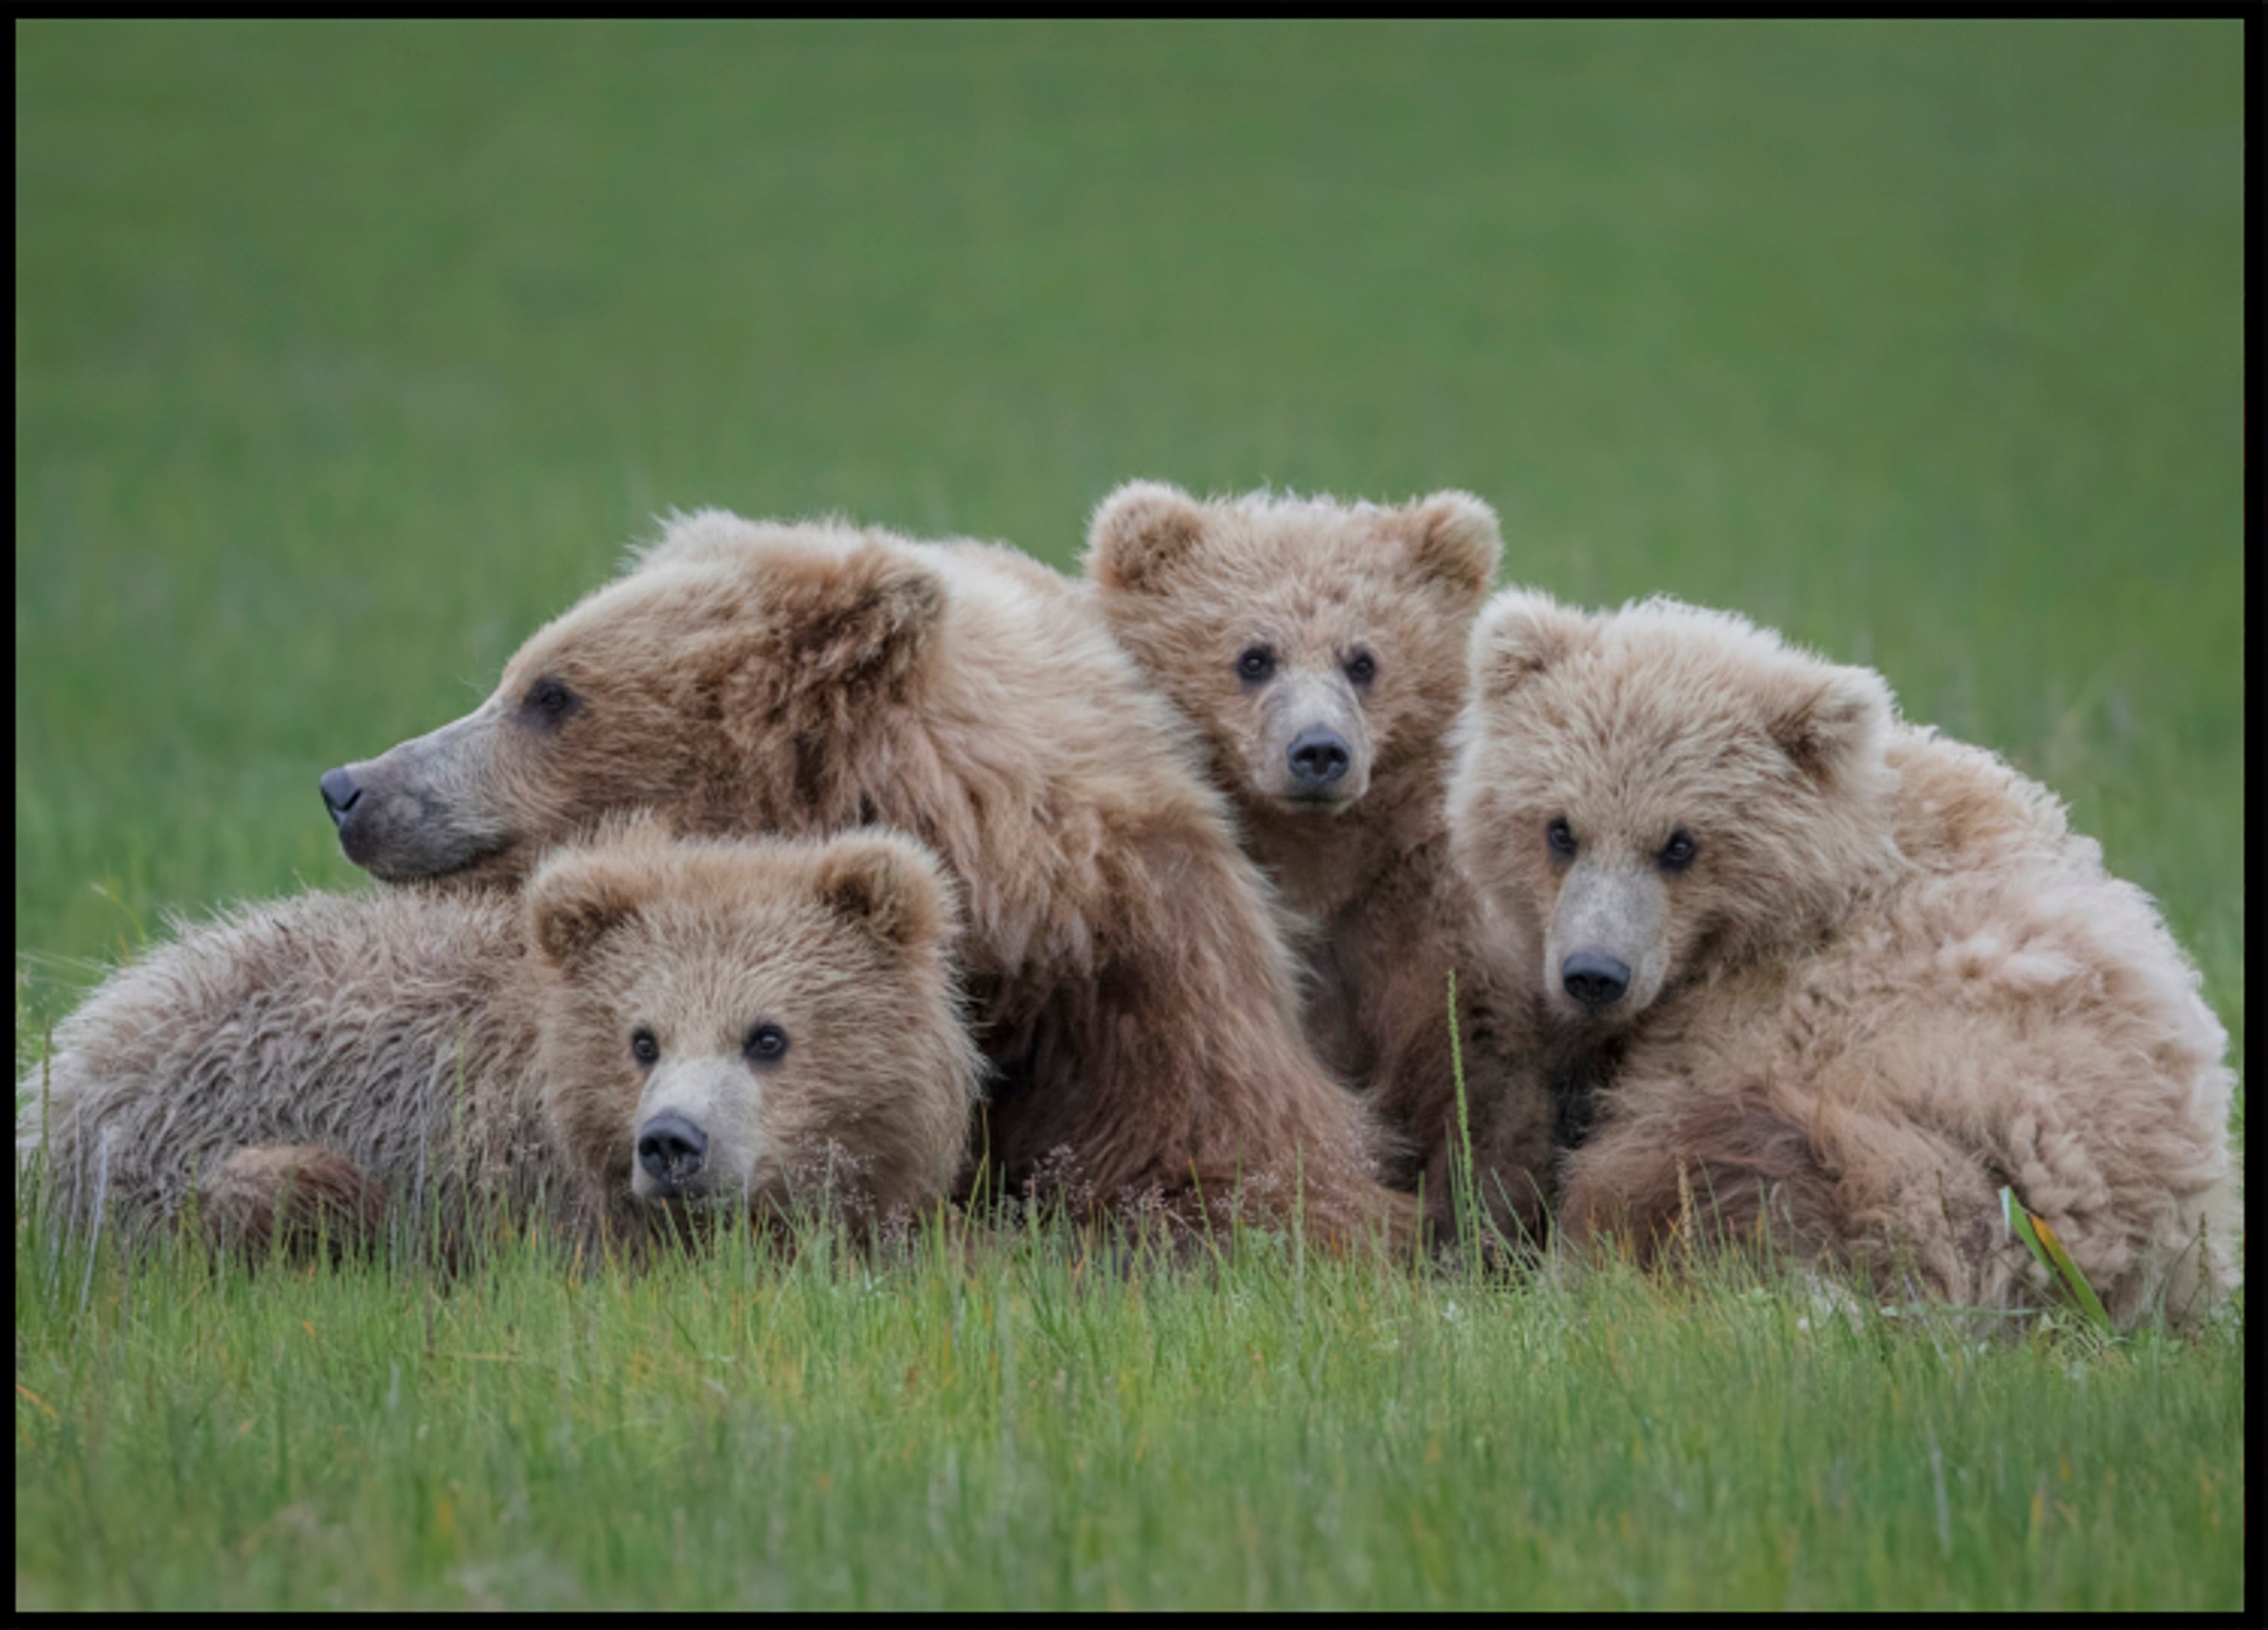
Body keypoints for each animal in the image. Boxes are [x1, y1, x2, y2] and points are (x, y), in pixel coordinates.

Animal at [1084, 482, 1558, 1246]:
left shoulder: (1409, 904)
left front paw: (1473, 1218)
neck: (1314, 862)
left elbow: (1471, 1057)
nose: (1318, 751)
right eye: (1254, 657)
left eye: (1363, 660)